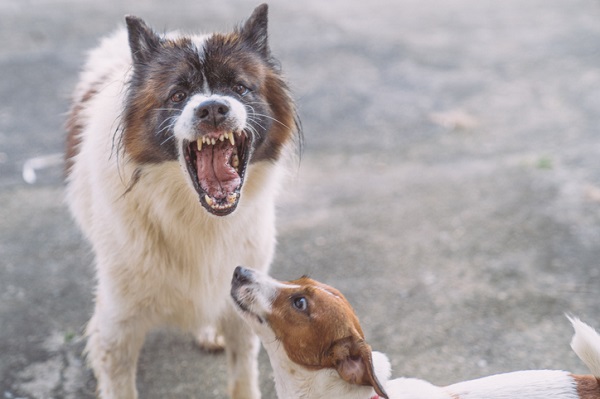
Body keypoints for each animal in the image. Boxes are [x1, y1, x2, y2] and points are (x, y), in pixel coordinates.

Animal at [65, 5, 300, 399]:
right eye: (177, 95)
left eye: (239, 87)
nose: (213, 109)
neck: (195, 216)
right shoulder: (117, 328)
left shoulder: (243, 300)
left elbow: (242, 373)